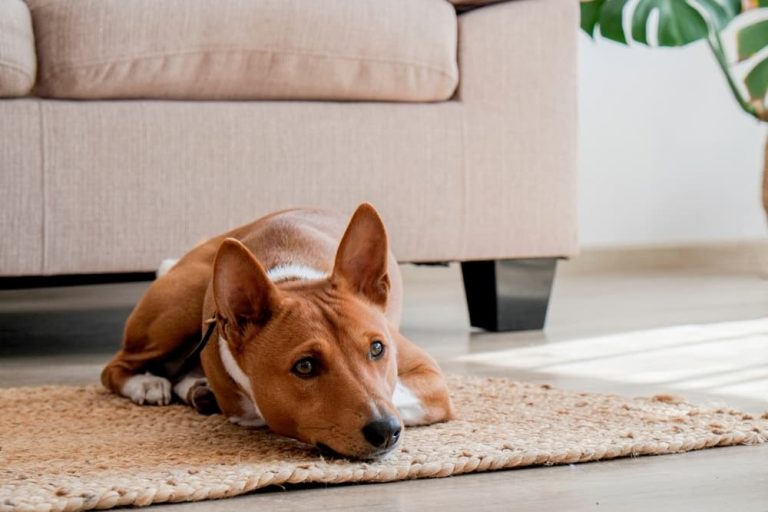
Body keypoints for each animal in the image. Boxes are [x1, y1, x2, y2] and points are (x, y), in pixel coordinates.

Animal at [99, 204, 452, 460]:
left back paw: (197, 390)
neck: (291, 277)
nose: (386, 430)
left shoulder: (431, 380)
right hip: (180, 306)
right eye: (305, 366)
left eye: (377, 349)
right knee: (114, 368)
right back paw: (146, 384)